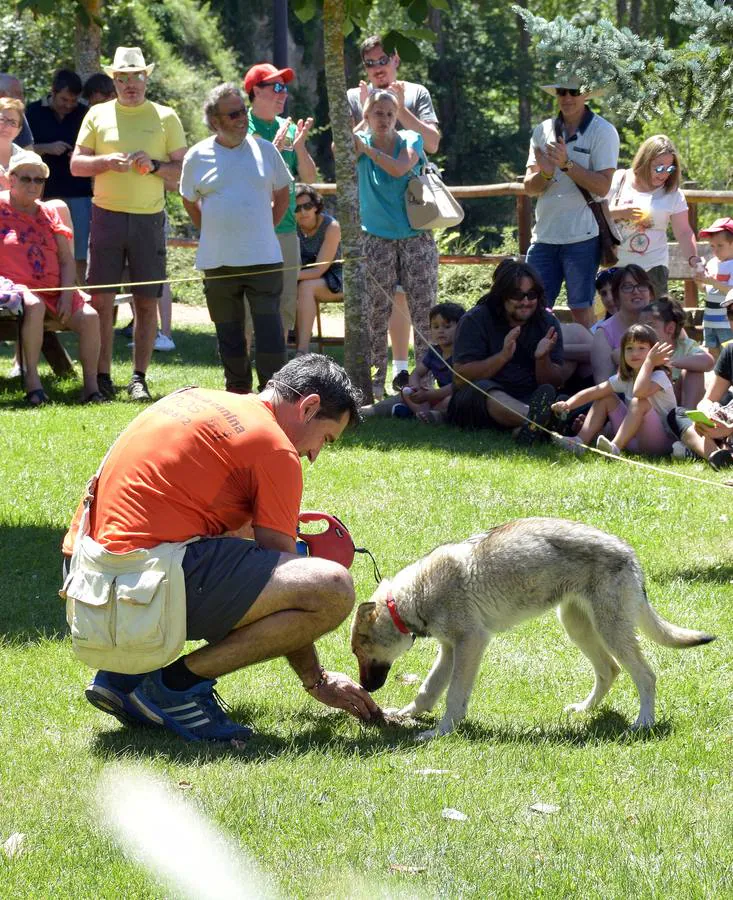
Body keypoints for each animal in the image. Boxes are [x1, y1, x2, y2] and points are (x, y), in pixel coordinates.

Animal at [350, 520, 716, 740]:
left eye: (359, 650)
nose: (364, 689)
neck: (413, 597)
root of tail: (631, 554)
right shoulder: (450, 648)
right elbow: (427, 691)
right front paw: (406, 716)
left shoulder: (471, 643)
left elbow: (454, 696)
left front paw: (441, 733)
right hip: (578, 628)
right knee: (609, 671)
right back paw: (584, 711)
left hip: (610, 631)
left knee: (646, 676)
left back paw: (643, 723)